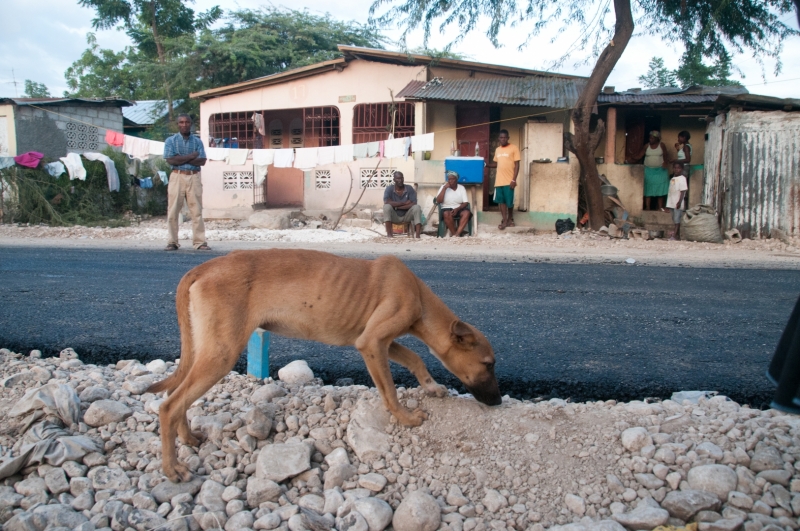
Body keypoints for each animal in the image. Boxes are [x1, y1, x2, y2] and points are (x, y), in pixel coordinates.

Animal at [148, 249, 500, 482]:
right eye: (488, 364)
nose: (497, 401)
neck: (418, 297)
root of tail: (201, 269)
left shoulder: (380, 341)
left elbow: (415, 358)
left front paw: (432, 387)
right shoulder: (371, 343)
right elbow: (388, 390)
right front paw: (406, 417)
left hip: (205, 351)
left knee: (177, 398)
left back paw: (188, 439)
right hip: (220, 355)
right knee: (168, 406)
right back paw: (172, 468)